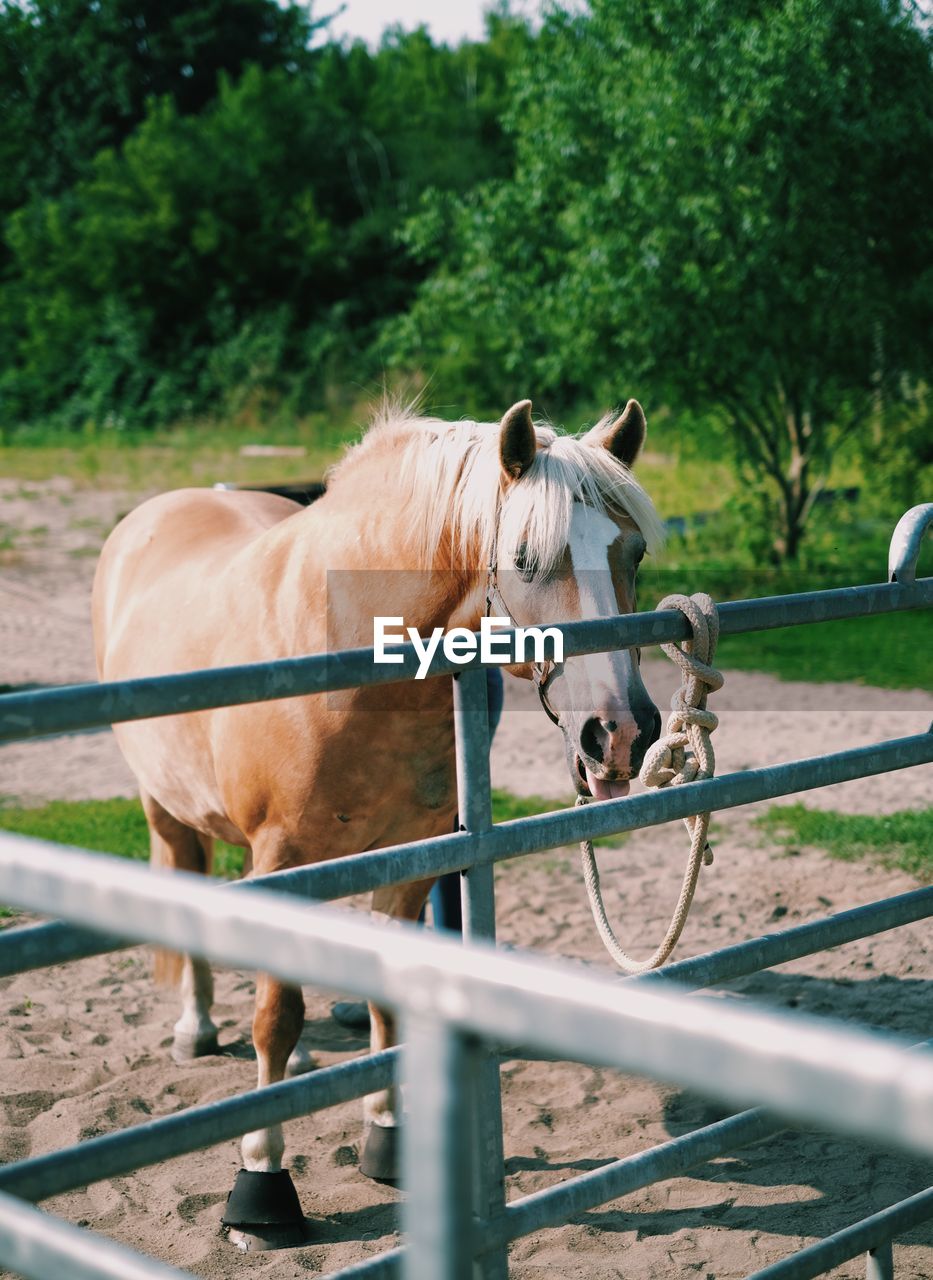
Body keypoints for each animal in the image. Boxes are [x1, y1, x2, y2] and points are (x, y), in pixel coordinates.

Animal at [92, 396, 660, 1239]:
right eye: (524, 558)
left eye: (635, 553)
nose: (619, 734)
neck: (346, 653)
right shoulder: (283, 860)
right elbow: (275, 1017)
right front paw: (261, 1188)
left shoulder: (409, 857)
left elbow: (384, 1004)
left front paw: (388, 1145)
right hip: (165, 807)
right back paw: (195, 1029)